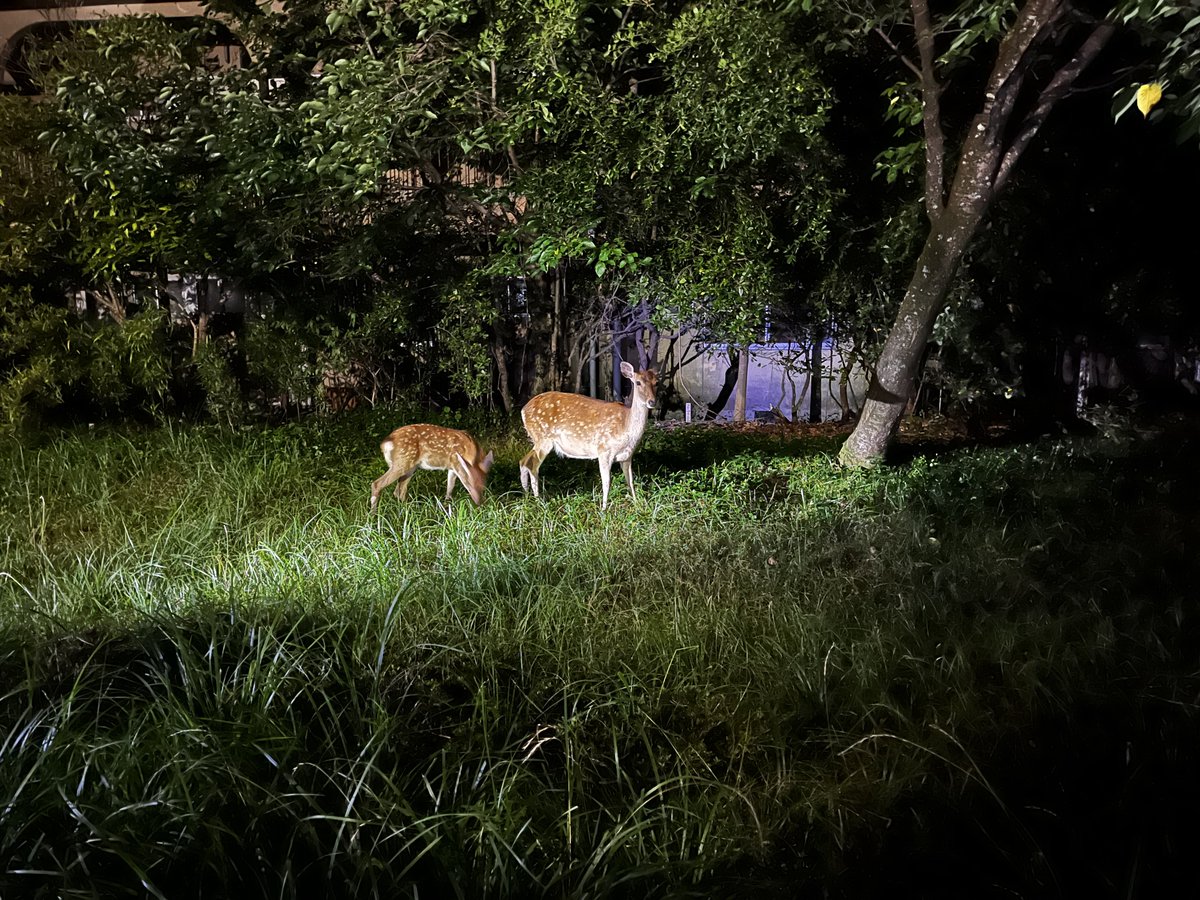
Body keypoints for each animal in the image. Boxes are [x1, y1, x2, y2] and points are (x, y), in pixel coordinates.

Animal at [519, 360, 657, 510]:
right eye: (638, 382)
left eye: (656, 382)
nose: (652, 402)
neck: (626, 428)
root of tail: (523, 410)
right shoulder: (604, 450)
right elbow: (606, 482)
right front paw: (603, 509)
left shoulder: (627, 456)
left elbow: (630, 481)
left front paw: (637, 504)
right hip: (543, 438)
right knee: (533, 465)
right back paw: (539, 502)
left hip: (537, 440)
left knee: (523, 461)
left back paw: (527, 498)